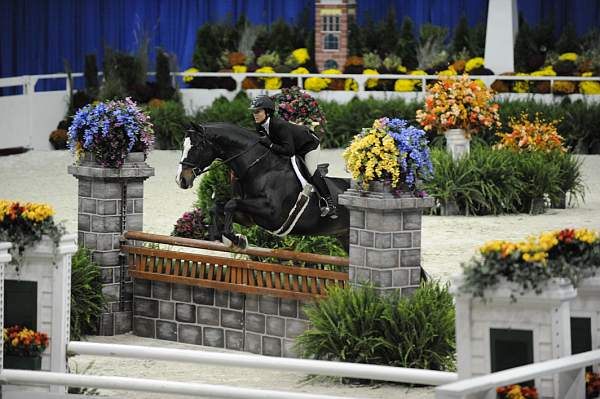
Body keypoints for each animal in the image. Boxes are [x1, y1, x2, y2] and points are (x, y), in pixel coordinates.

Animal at [176, 122, 350, 247]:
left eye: (196, 147)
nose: (181, 179)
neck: (261, 167)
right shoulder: (248, 217)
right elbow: (217, 207)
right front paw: (219, 235)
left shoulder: (272, 214)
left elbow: (230, 204)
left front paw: (235, 239)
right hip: (344, 237)